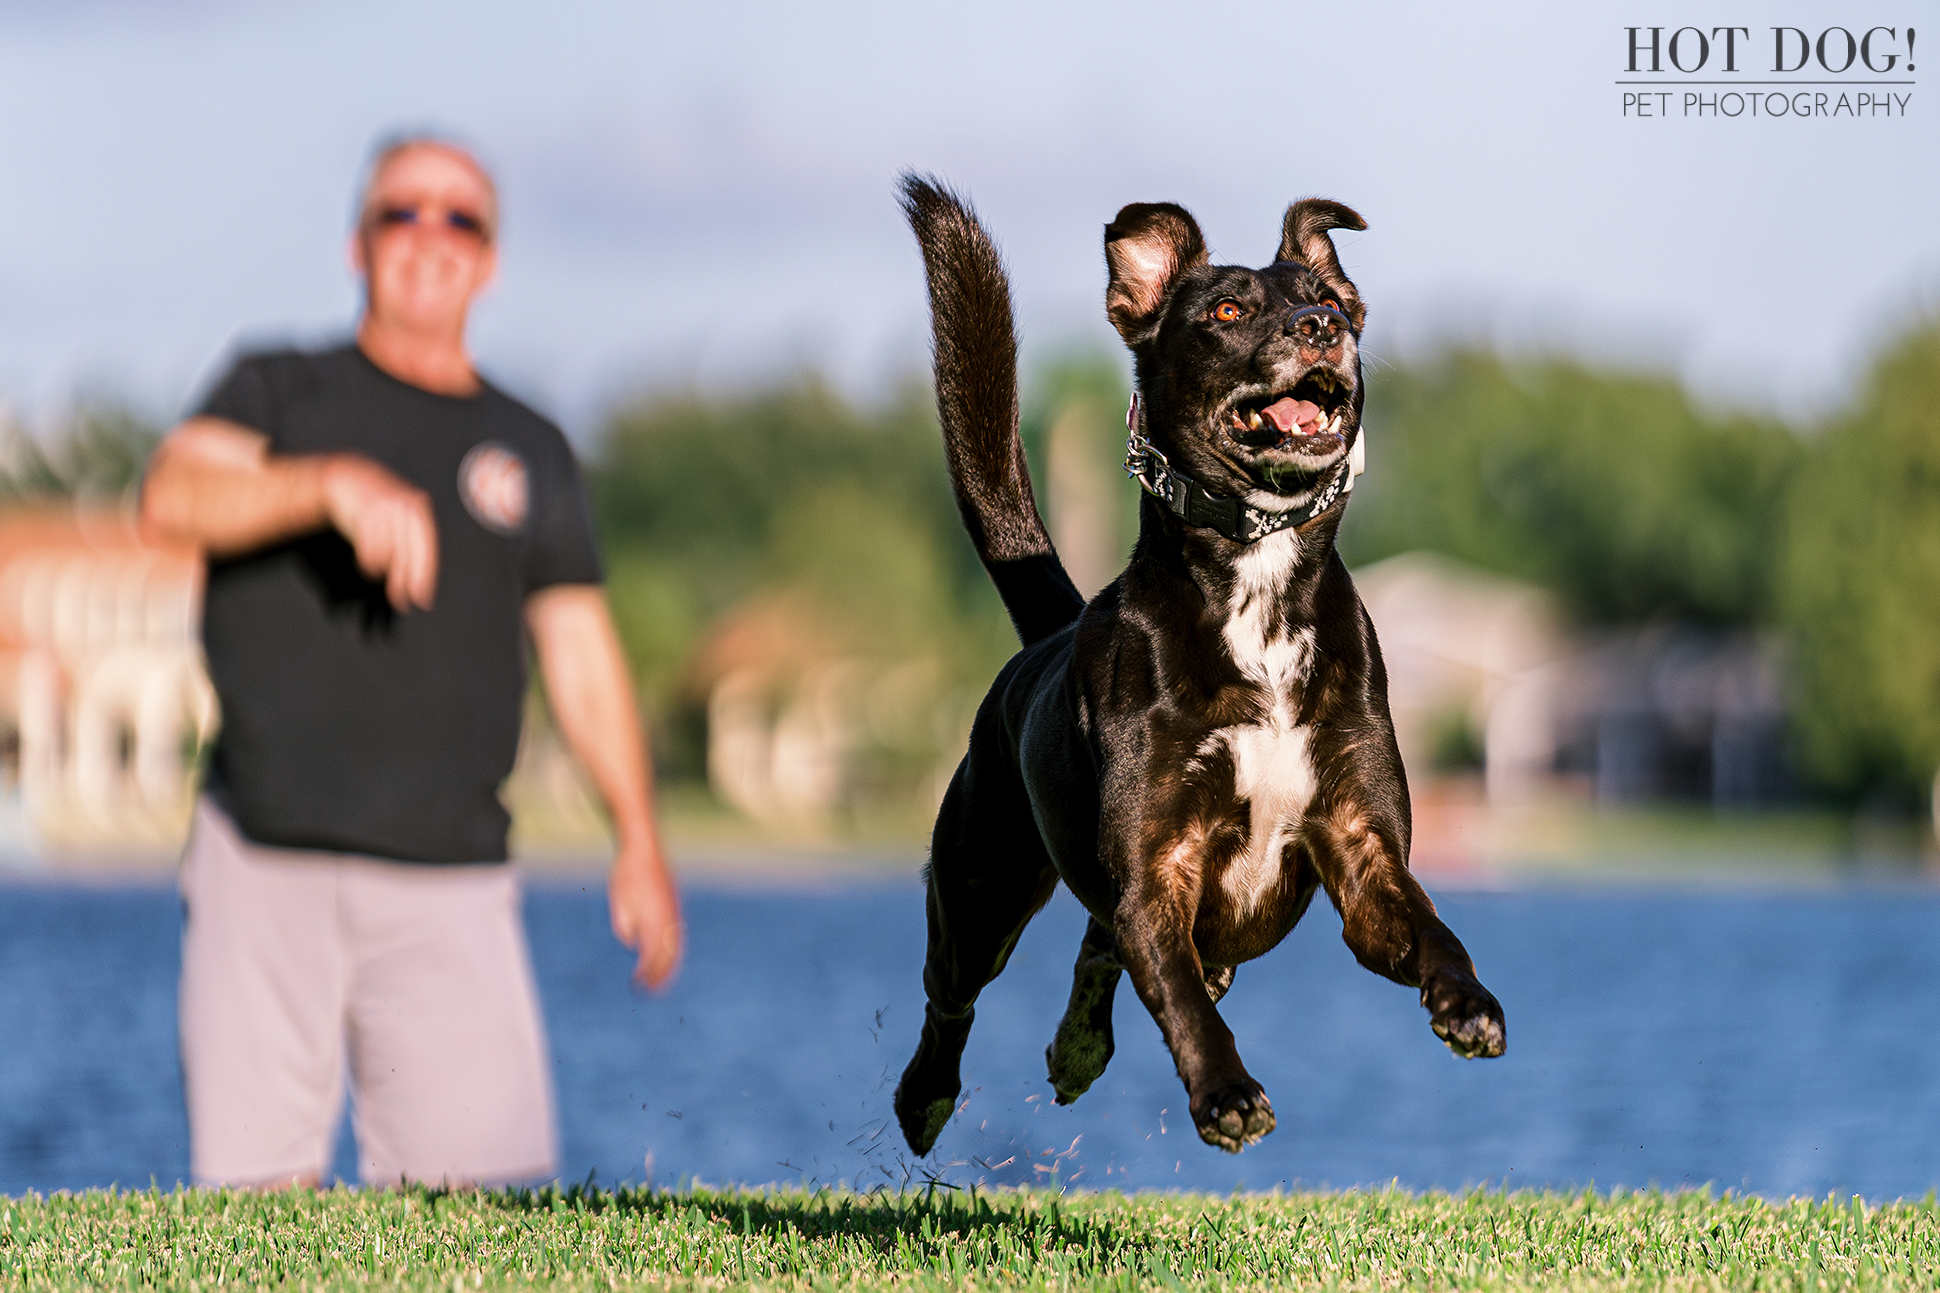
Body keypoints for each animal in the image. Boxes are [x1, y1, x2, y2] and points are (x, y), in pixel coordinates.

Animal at [888, 176, 1505, 1149]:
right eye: (1225, 311)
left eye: (1333, 304)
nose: (1321, 329)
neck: (1258, 586)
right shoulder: (1155, 869)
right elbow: (1178, 995)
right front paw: (1227, 1093)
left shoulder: (1363, 852)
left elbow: (1432, 926)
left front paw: (1468, 1001)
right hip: (979, 882)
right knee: (955, 996)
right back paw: (926, 1096)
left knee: (1102, 950)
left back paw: (1077, 1050)